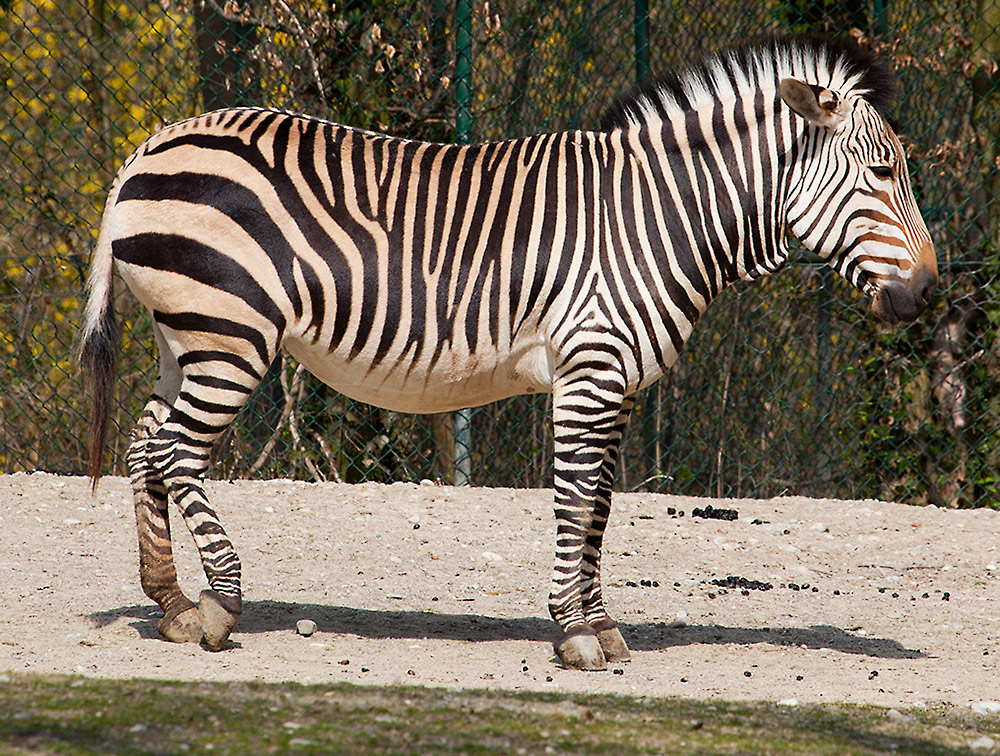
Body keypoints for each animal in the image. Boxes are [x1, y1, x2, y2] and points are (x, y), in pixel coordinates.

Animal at [80, 38, 936, 672]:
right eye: (883, 172)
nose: (927, 293)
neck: (659, 215)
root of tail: (148, 145)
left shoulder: (620, 385)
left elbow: (601, 506)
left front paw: (601, 624)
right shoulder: (590, 371)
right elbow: (575, 499)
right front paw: (577, 633)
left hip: (185, 336)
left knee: (145, 444)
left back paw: (171, 603)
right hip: (230, 334)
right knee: (178, 452)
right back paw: (218, 607)